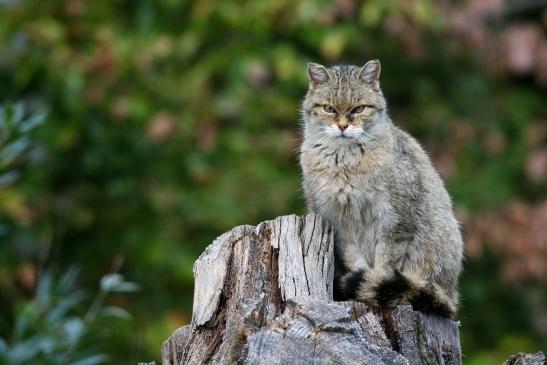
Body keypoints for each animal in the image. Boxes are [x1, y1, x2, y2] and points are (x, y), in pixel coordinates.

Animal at [300, 59, 462, 316]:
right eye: (329, 109)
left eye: (358, 109)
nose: (343, 126)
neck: (344, 161)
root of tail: (451, 297)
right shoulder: (337, 223)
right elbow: (354, 260)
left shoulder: (395, 219)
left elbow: (385, 264)